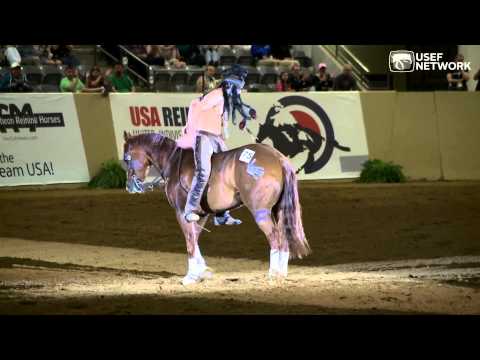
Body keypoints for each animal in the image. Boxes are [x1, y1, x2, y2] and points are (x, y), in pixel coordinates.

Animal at [123, 131, 312, 286]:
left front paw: (190, 277)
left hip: (261, 212)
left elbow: (189, 241)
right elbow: (195, 239)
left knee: (274, 237)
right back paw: (281, 273)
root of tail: (278, 158)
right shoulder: (200, 215)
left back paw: (273, 274)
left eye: (126, 158)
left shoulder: (181, 213)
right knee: (284, 237)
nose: (129, 187)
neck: (173, 162)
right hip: (278, 210)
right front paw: (202, 272)